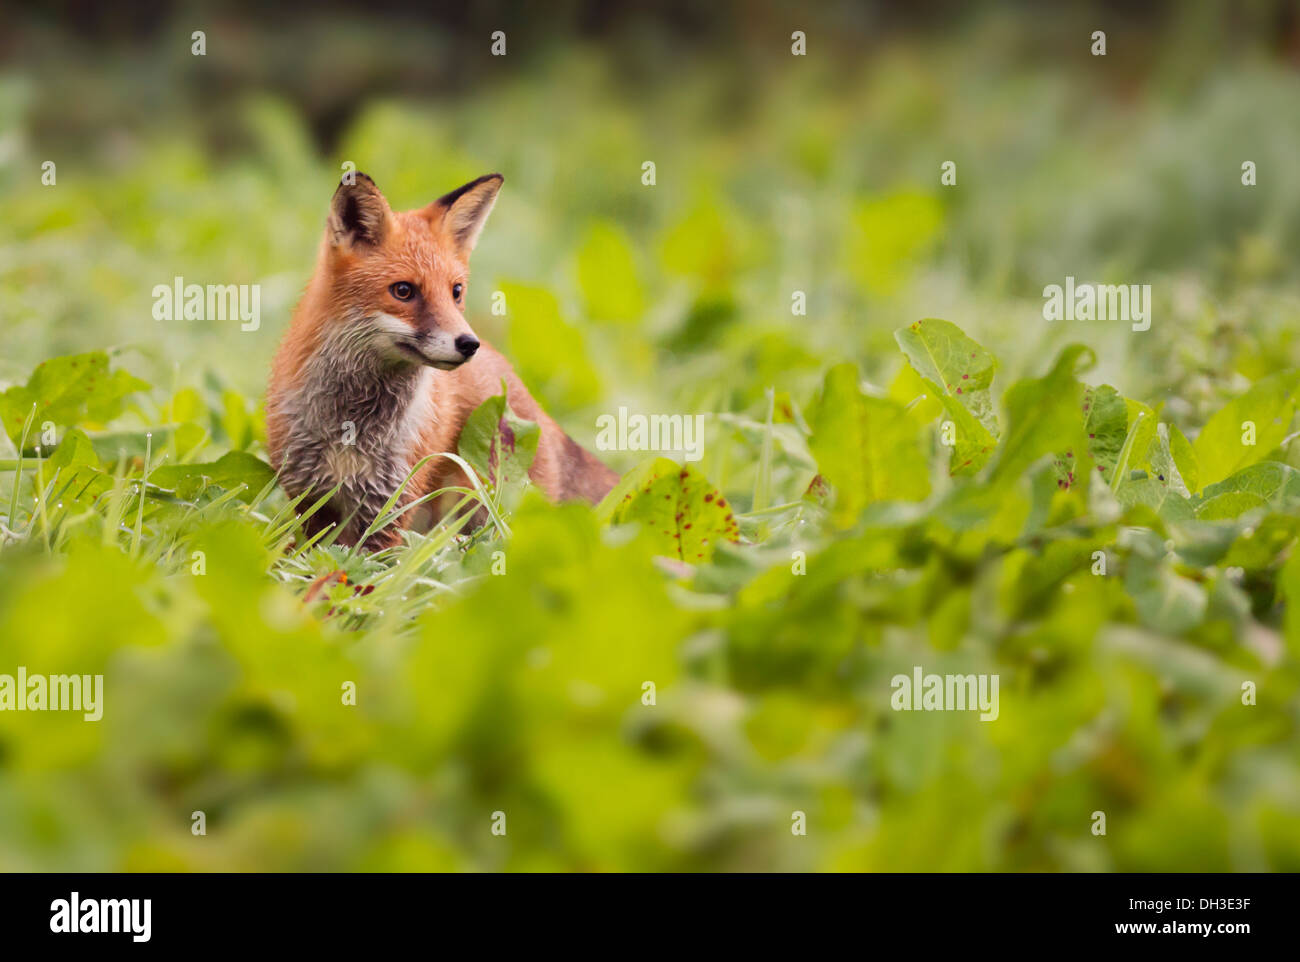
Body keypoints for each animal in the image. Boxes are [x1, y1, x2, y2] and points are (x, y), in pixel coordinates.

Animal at [266, 171, 619, 548]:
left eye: (456, 292)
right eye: (403, 291)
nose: (468, 343)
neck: (351, 426)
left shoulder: (391, 507)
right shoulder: (309, 499)